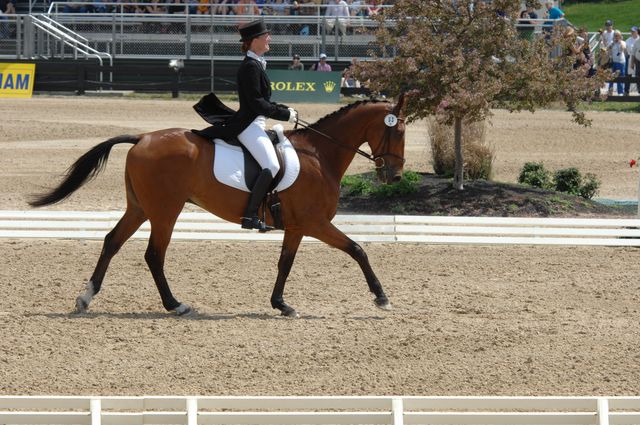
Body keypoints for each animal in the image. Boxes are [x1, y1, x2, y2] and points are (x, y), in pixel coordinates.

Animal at [28, 95, 404, 314]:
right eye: (398, 131)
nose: (396, 176)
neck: (319, 155)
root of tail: (143, 137)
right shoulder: (315, 223)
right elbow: (357, 250)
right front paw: (382, 297)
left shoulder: (297, 226)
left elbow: (285, 264)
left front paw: (280, 304)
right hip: (165, 211)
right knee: (153, 255)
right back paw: (174, 304)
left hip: (139, 208)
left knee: (112, 242)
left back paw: (85, 298)